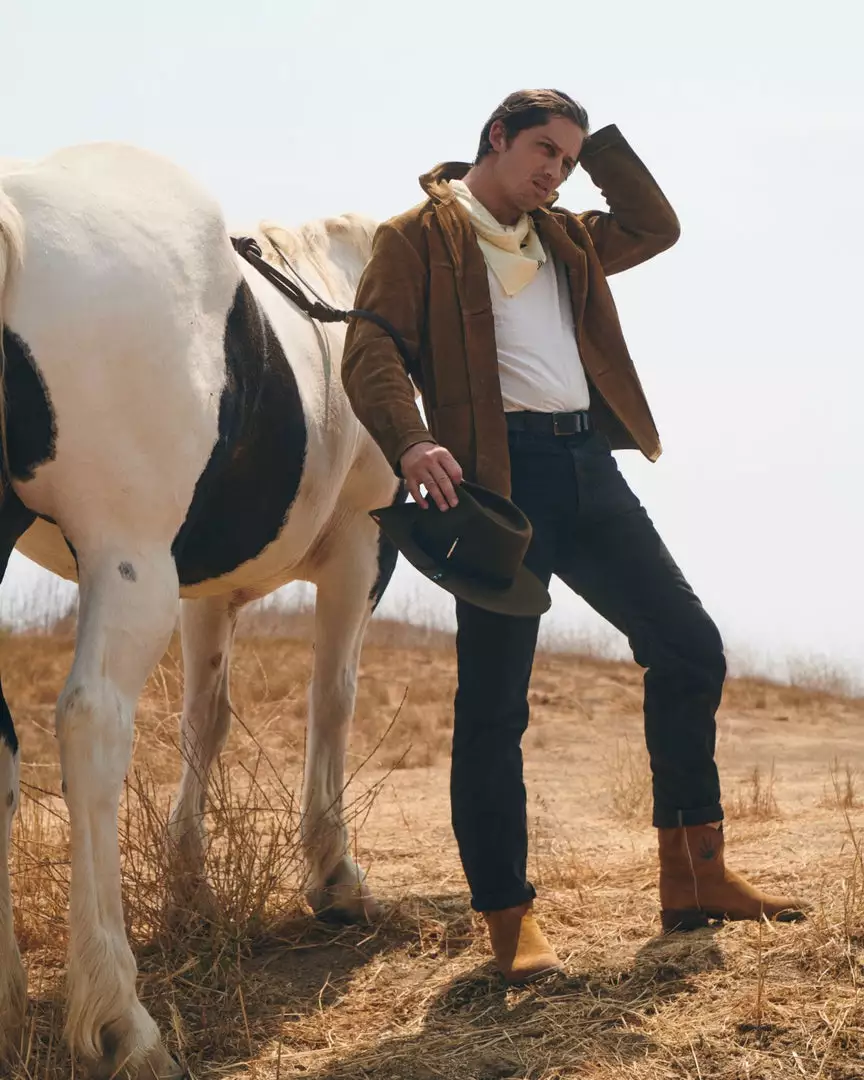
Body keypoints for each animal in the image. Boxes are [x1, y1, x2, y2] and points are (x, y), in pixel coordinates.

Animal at [0, 143, 402, 1078]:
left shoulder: (206, 591)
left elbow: (204, 719)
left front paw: (191, 885)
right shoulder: (361, 550)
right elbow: (333, 699)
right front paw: (335, 874)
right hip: (132, 563)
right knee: (93, 727)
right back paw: (120, 1014)